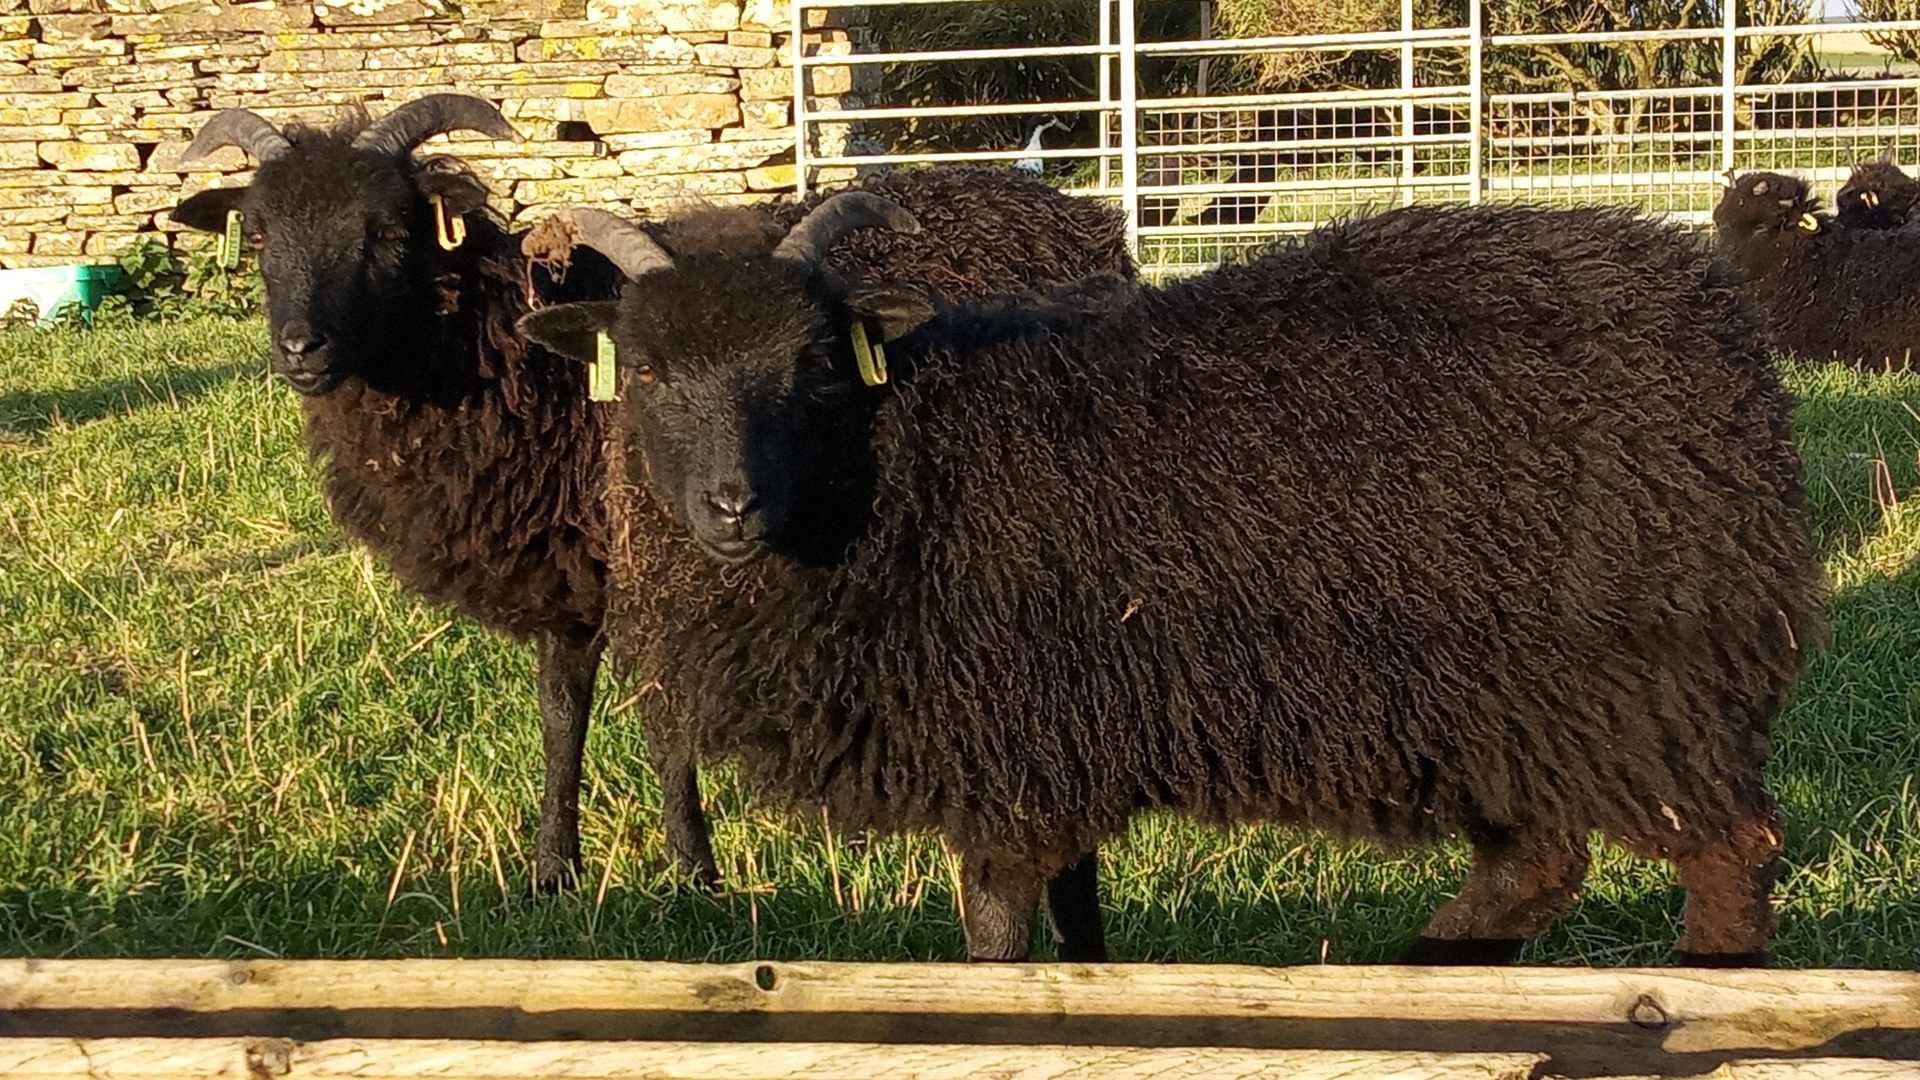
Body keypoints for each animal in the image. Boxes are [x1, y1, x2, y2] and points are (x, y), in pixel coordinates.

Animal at [168, 95, 1134, 893]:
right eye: (259, 236)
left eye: (386, 233)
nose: (300, 347)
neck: (511, 364)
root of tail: (1076, 211)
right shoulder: (571, 574)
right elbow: (562, 715)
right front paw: (553, 868)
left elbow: (668, 725)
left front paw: (693, 868)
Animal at [519, 197, 1824, 966]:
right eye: (643, 370)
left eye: (815, 367)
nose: (729, 505)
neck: (908, 458)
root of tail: (1714, 316)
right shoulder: (1054, 737)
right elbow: (1077, 921)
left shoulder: (1005, 746)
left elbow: (998, 936)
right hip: (1505, 702)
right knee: (1537, 866)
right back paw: (1424, 970)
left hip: (1646, 680)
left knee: (1726, 857)